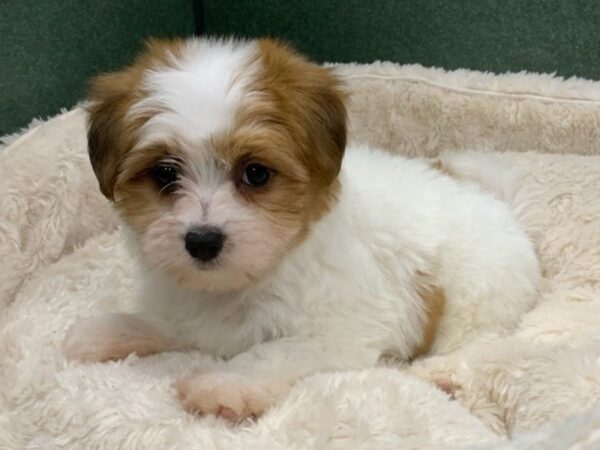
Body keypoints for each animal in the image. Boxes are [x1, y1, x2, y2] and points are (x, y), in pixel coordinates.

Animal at [64, 38, 540, 422]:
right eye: (165, 174)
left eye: (256, 173)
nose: (202, 241)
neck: (249, 280)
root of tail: (495, 201)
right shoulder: (192, 306)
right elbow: (172, 321)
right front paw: (110, 330)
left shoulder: (341, 327)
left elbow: (275, 351)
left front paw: (225, 384)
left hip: (476, 291)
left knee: (479, 339)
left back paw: (439, 369)